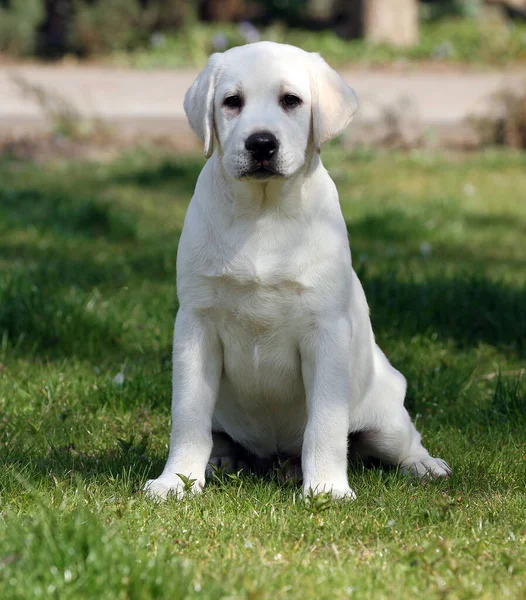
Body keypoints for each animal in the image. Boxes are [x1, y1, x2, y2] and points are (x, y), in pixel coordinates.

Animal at [145, 42, 454, 500]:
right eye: (231, 102)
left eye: (291, 101)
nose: (261, 144)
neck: (263, 212)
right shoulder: (195, 325)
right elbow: (188, 414)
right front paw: (177, 480)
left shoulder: (326, 330)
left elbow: (325, 423)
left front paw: (326, 487)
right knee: (218, 436)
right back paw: (224, 461)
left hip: (386, 414)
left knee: (401, 441)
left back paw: (424, 465)